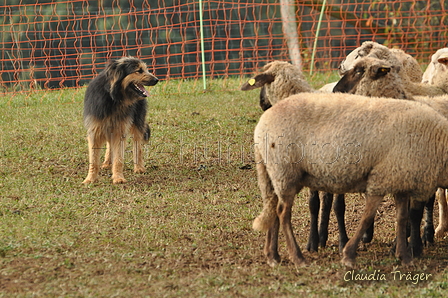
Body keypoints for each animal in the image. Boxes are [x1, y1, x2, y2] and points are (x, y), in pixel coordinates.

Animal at [83, 56, 158, 184]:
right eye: (139, 70)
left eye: (145, 69)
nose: (157, 79)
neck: (113, 97)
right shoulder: (95, 130)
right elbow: (93, 159)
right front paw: (90, 179)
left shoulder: (120, 130)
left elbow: (118, 158)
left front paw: (118, 178)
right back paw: (107, 163)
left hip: (137, 122)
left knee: (137, 146)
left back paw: (139, 167)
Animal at [240, 61, 348, 253]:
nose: (262, 104)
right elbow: (314, 204)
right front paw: (313, 242)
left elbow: (337, 206)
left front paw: (342, 241)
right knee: (326, 200)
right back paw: (323, 237)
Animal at [252, 93, 448, 268]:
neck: (439, 143)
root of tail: (262, 124)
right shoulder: (380, 180)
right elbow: (367, 218)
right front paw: (348, 255)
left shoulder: (400, 181)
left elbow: (401, 219)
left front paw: (404, 257)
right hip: (285, 171)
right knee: (283, 213)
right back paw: (298, 258)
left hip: (276, 173)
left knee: (273, 207)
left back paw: (273, 256)